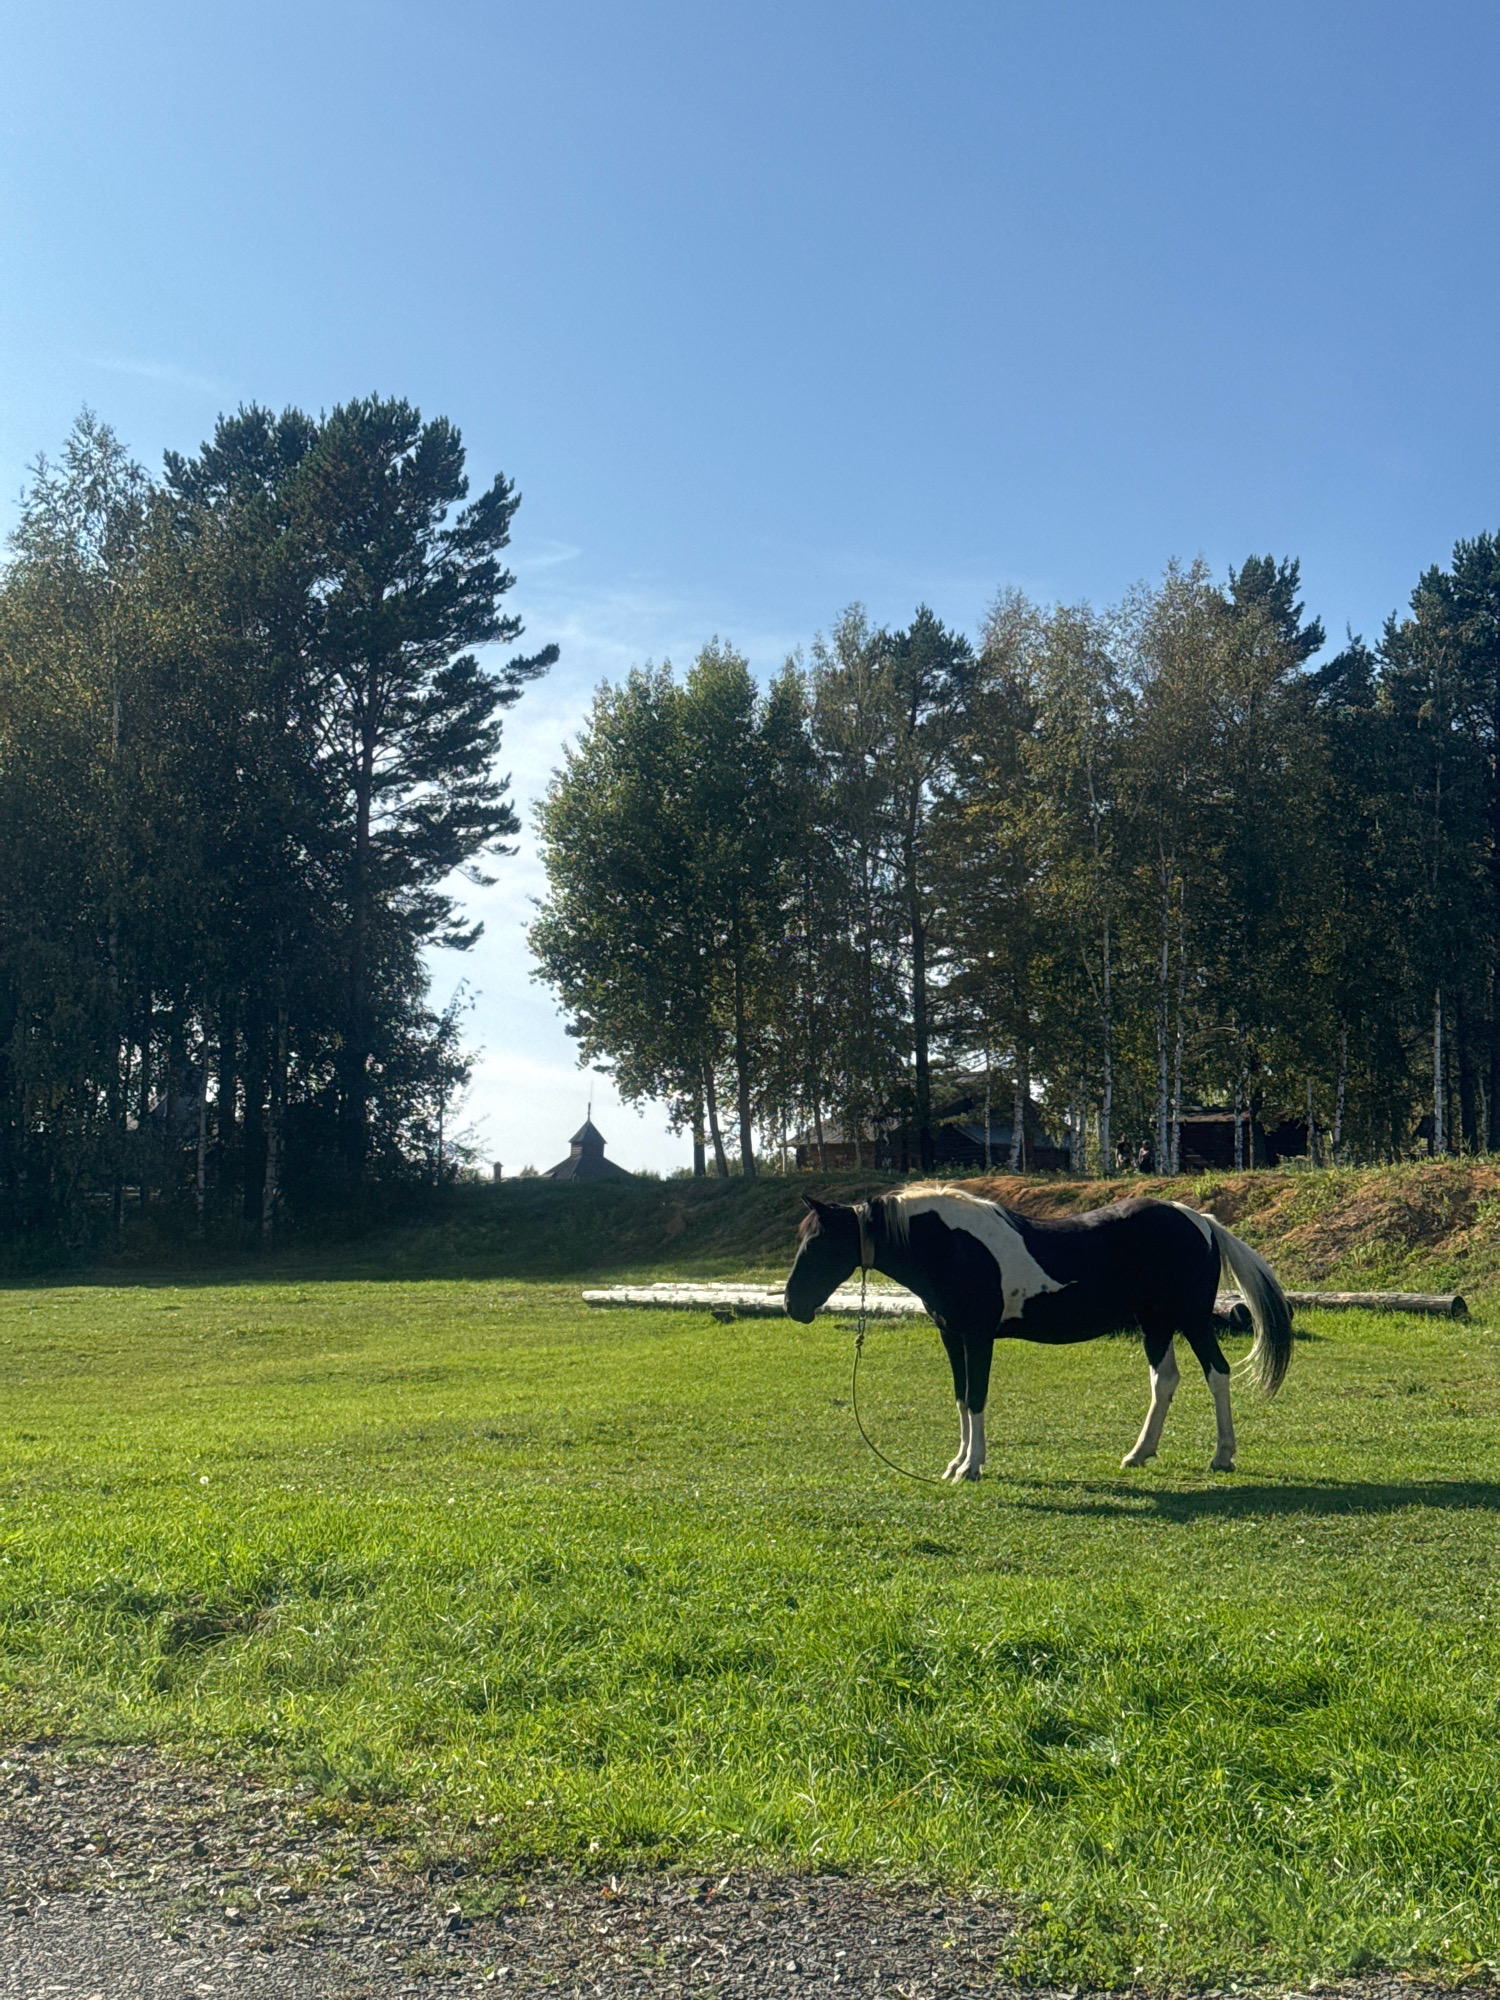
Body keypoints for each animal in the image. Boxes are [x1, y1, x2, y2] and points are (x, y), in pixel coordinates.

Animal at [783, 1185, 1293, 1480]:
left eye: (818, 1243)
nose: (792, 1305)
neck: (951, 1245)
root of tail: (1201, 1221)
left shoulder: (977, 1336)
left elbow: (977, 1396)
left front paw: (972, 1467)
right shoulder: (951, 1336)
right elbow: (960, 1397)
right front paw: (957, 1462)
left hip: (1189, 1319)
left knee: (1218, 1374)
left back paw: (1222, 1455)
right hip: (1155, 1324)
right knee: (1165, 1381)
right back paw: (1139, 1453)